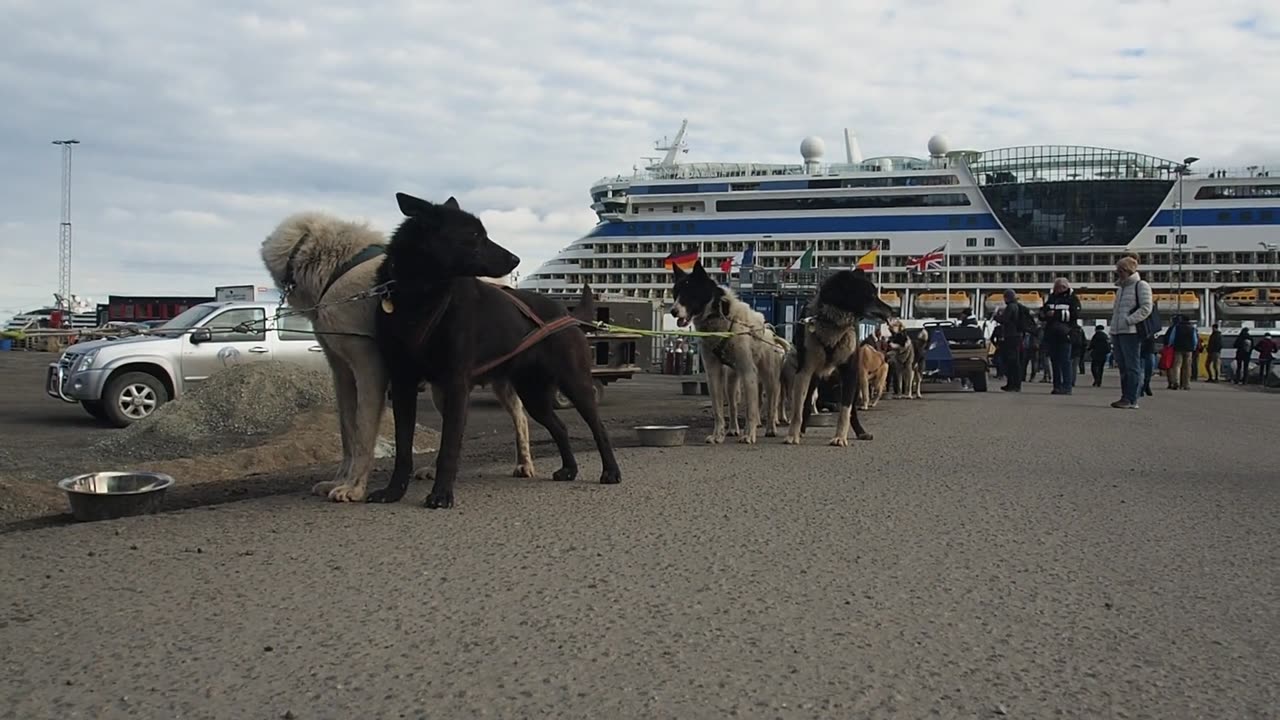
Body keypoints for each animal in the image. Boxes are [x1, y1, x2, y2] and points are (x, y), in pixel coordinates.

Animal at [262, 208, 537, 499]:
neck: (338, 266)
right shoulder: (342, 373)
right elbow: (347, 431)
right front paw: (339, 480)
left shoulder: (370, 368)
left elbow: (363, 432)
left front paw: (354, 487)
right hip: (444, 385)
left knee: (519, 415)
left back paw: (524, 463)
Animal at [368, 190, 622, 504]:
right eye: (475, 235)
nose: (516, 258)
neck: (420, 294)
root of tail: (566, 313)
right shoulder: (403, 384)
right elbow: (403, 448)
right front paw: (394, 491)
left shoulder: (455, 384)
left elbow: (448, 448)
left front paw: (441, 495)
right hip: (534, 395)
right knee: (560, 428)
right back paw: (569, 469)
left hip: (575, 384)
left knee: (599, 428)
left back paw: (611, 471)